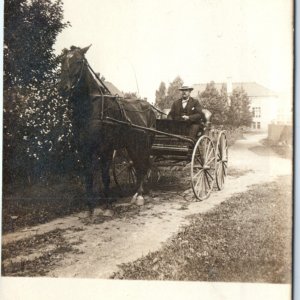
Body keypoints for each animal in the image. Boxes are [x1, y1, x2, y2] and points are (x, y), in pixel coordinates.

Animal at [59, 45, 157, 216]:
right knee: (138, 165)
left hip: (144, 143)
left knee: (143, 165)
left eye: (78, 61)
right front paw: (90, 208)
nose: (63, 87)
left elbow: (105, 176)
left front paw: (107, 205)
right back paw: (137, 194)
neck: (91, 109)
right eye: (62, 60)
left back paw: (140, 195)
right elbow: (89, 176)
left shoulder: (106, 148)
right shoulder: (84, 149)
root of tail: (149, 106)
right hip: (131, 145)